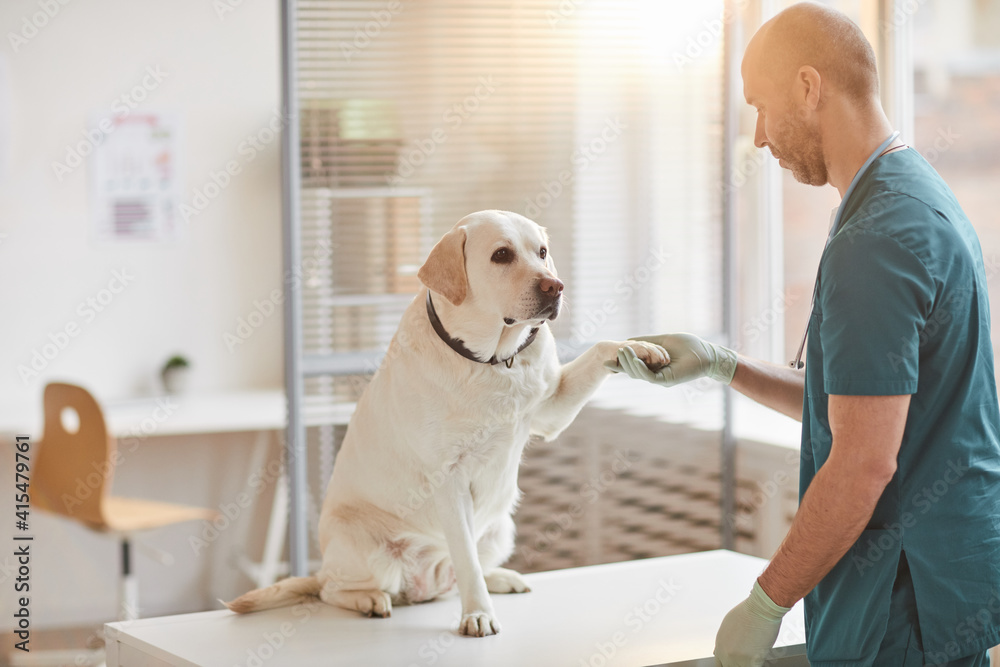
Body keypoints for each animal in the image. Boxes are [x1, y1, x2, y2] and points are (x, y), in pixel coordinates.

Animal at [226, 213, 664, 636]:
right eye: (501, 255)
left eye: (541, 251)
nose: (555, 286)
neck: (492, 360)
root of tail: (424, 584)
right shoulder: (449, 479)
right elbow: (465, 558)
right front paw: (478, 615)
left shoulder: (550, 411)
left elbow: (601, 349)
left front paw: (639, 347)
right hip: (369, 551)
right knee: (332, 589)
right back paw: (368, 599)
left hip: (500, 528)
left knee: (460, 573)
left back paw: (499, 578)